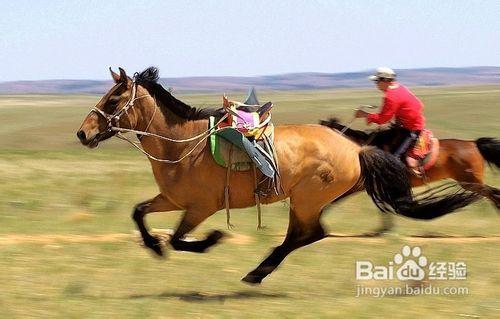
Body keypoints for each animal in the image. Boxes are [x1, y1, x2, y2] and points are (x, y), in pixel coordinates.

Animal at [76, 67, 478, 284]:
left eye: (113, 100)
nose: (82, 133)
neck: (182, 144)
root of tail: (357, 149)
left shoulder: (200, 207)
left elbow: (179, 239)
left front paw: (211, 240)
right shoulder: (172, 200)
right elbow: (139, 213)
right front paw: (154, 246)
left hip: (305, 199)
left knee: (309, 234)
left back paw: (256, 272)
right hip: (307, 201)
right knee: (307, 234)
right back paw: (258, 271)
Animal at [320, 119, 500, 234]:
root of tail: (473, 143)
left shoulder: (359, 185)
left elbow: (334, 200)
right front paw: (384, 230)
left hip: (471, 182)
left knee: (493, 193)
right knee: (492, 193)